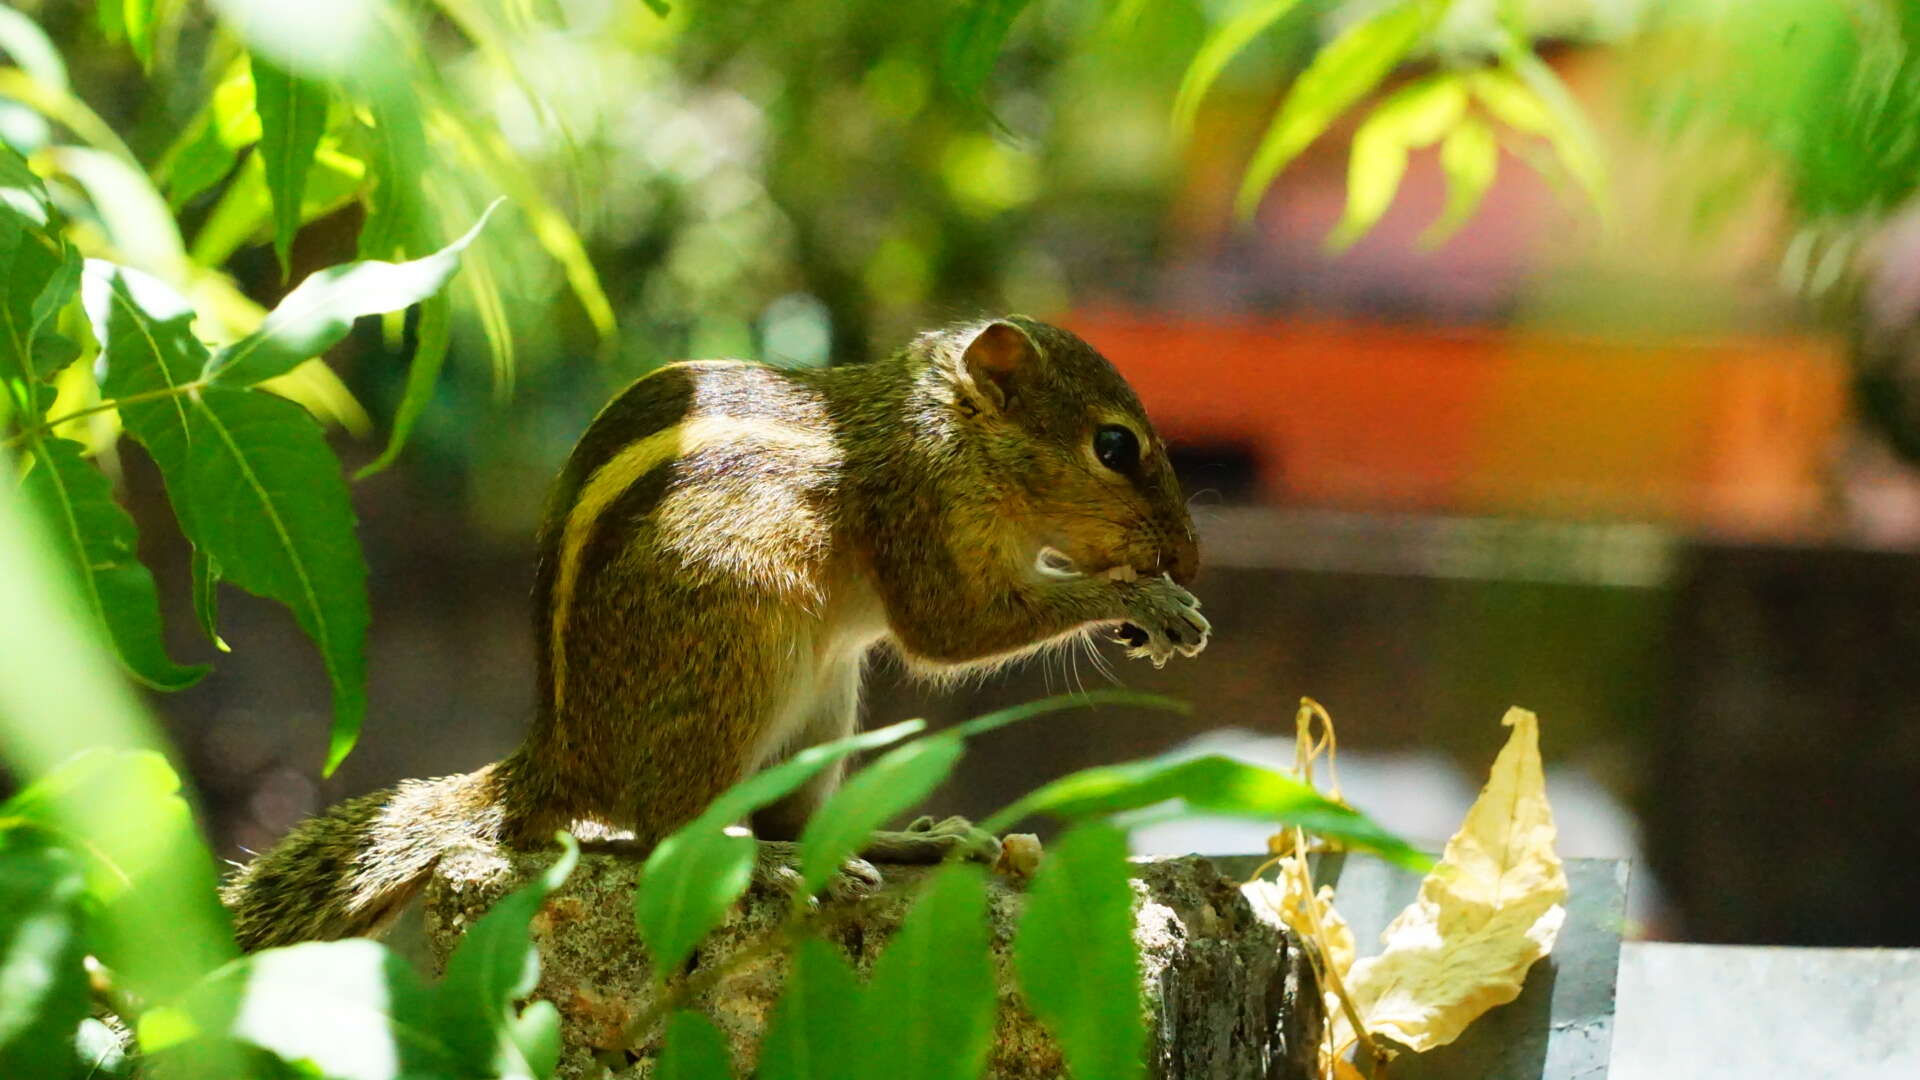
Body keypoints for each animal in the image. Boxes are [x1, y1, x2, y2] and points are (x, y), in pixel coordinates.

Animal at [224, 315, 1205, 945]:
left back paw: (896, 841)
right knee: (669, 831)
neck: (945, 428)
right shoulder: (919, 514)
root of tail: (561, 756)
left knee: (792, 819)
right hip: (735, 652)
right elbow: (946, 633)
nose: (1189, 557)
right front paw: (1145, 603)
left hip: (822, 705)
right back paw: (765, 867)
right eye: (1115, 447)